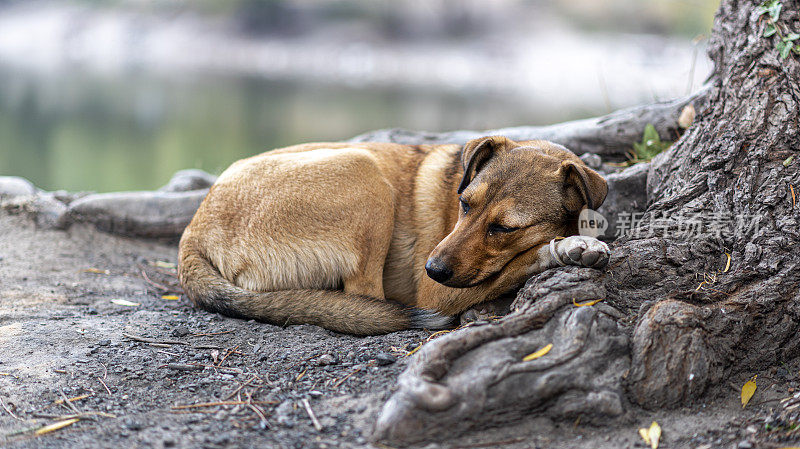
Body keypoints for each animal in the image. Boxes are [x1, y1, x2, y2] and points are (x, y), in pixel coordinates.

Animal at [178, 135, 608, 334]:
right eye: (464, 204)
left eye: (503, 228)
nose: (432, 269)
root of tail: (193, 231)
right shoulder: (437, 294)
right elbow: (522, 259)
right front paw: (569, 247)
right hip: (364, 172)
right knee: (366, 298)